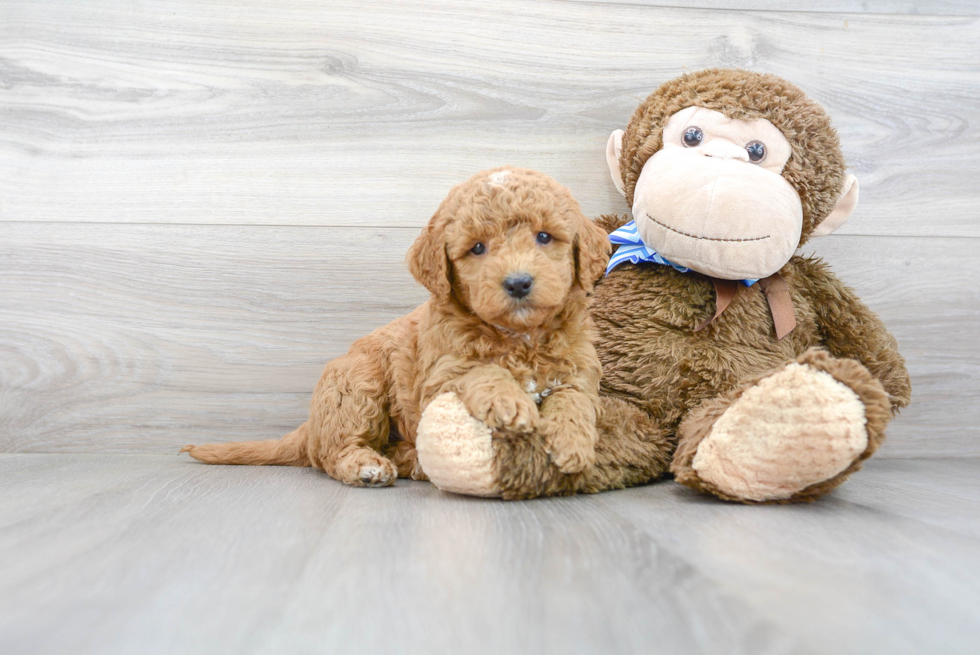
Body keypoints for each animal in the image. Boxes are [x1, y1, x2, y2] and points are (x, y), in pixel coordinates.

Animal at [180, 168, 608, 486]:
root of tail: (310, 426)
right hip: (356, 383)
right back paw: (367, 466)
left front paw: (573, 445)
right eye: (478, 248)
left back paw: (411, 460)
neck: (519, 337)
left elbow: (573, 401)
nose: (518, 283)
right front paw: (509, 401)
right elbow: (480, 371)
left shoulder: (578, 370)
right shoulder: (440, 375)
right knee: (330, 453)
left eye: (544, 237)